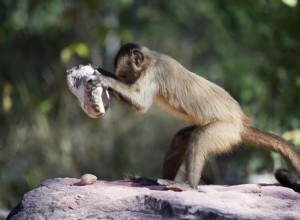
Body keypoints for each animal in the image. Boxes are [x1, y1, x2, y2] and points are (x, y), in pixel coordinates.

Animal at [91, 43, 300, 189]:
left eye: (125, 76)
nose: (122, 80)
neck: (152, 60)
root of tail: (240, 122)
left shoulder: (154, 73)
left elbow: (141, 103)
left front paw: (105, 79)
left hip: (226, 130)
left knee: (199, 138)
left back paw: (189, 185)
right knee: (182, 137)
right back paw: (154, 181)